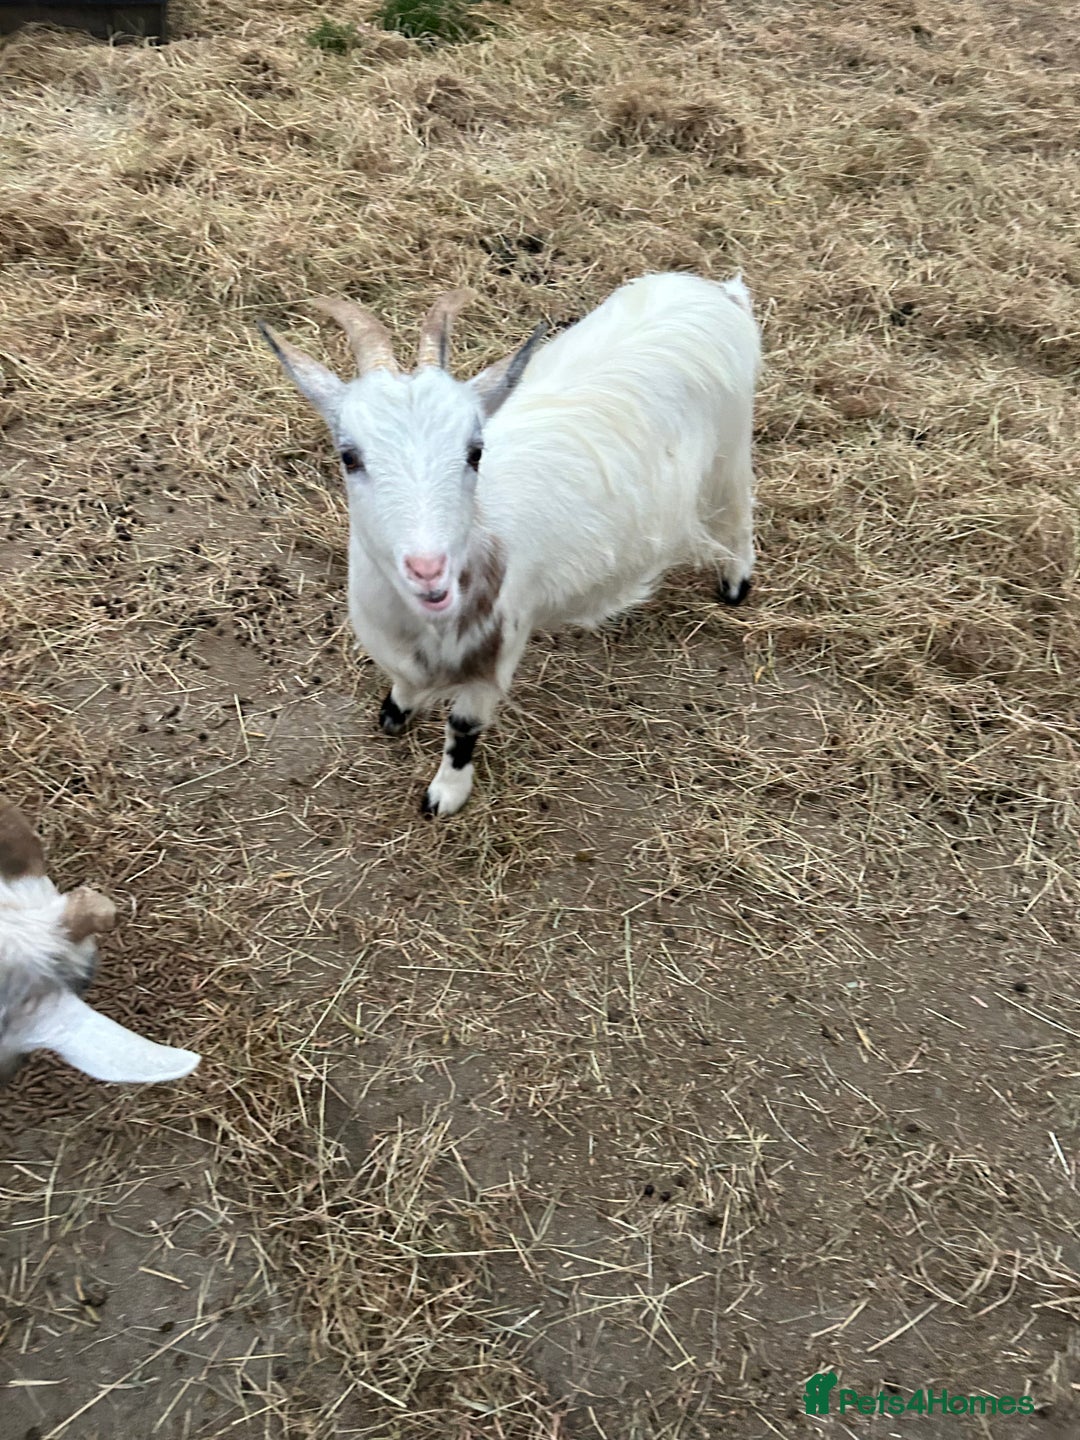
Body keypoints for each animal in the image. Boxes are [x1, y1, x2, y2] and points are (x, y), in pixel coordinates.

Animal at [258, 271, 760, 816]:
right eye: (349, 456)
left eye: (475, 451)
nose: (429, 570)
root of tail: (714, 291)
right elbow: (403, 682)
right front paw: (395, 713)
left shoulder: (503, 640)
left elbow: (463, 726)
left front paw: (445, 795)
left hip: (730, 449)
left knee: (739, 516)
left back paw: (736, 585)